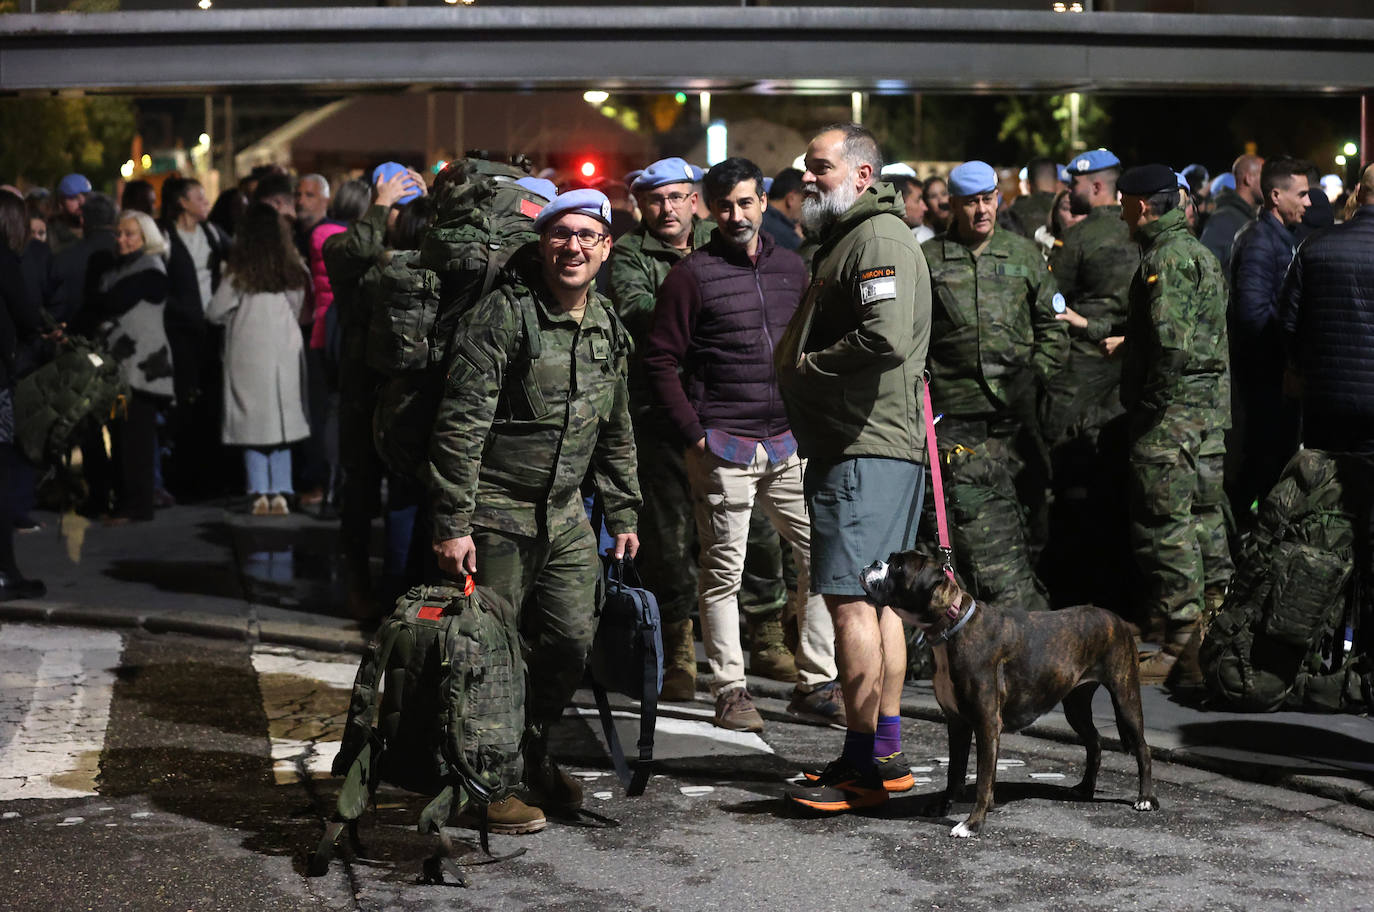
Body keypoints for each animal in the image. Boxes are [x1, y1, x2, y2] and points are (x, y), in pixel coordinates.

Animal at [857, 552, 1159, 835]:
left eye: (898, 567)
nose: (873, 563)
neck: (951, 626)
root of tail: (1116, 618)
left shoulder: (987, 724)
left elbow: (981, 778)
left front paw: (973, 824)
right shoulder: (957, 723)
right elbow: (954, 771)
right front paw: (944, 806)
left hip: (1125, 696)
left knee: (1142, 748)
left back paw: (1145, 798)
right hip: (1076, 704)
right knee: (1094, 742)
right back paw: (1085, 788)